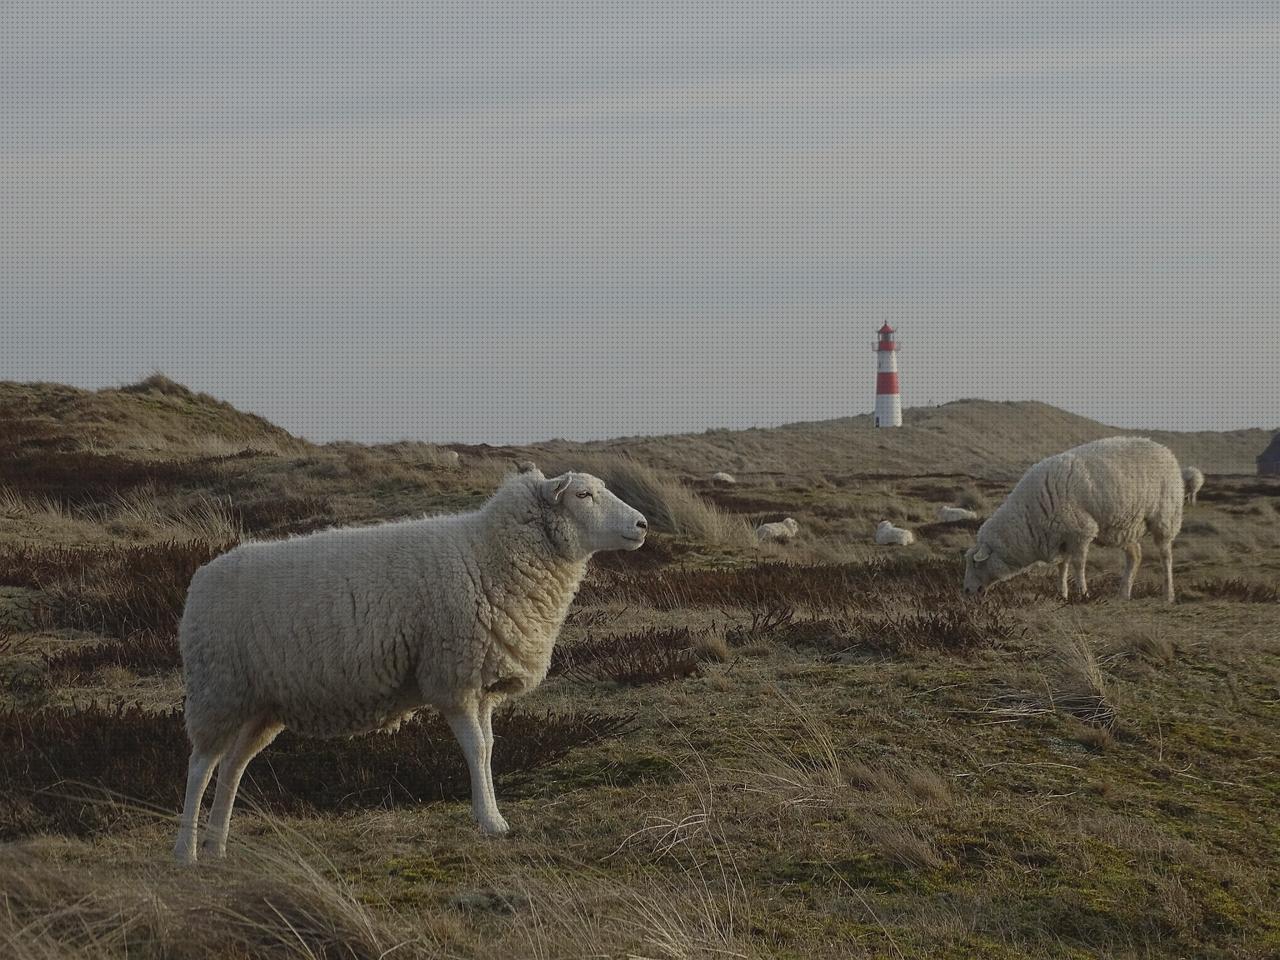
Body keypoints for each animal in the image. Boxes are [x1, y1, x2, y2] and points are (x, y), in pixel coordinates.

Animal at [171, 463, 650, 865]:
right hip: (218, 689)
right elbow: (477, 749)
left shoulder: (479, 681)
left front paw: (493, 814)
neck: (490, 556)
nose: (642, 524)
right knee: (199, 766)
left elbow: (489, 747)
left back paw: (216, 845)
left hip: (259, 703)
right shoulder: (452, 677)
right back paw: (187, 850)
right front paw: (490, 822)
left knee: (232, 766)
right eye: (584, 495)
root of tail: (201, 578)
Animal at [962, 440, 1182, 604]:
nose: (966, 591)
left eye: (975, 563)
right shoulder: (1062, 536)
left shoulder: (1080, 531)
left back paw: (1168, 594)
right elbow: (1062, 566)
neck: (1028, 518)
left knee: (1166, 556)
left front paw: (1083, 594)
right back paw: (1123, 594)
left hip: (1165, 516)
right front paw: (1063, 594)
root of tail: (1165, 450)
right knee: (1135, 555)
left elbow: (1078, 564)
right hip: (1124, 526)